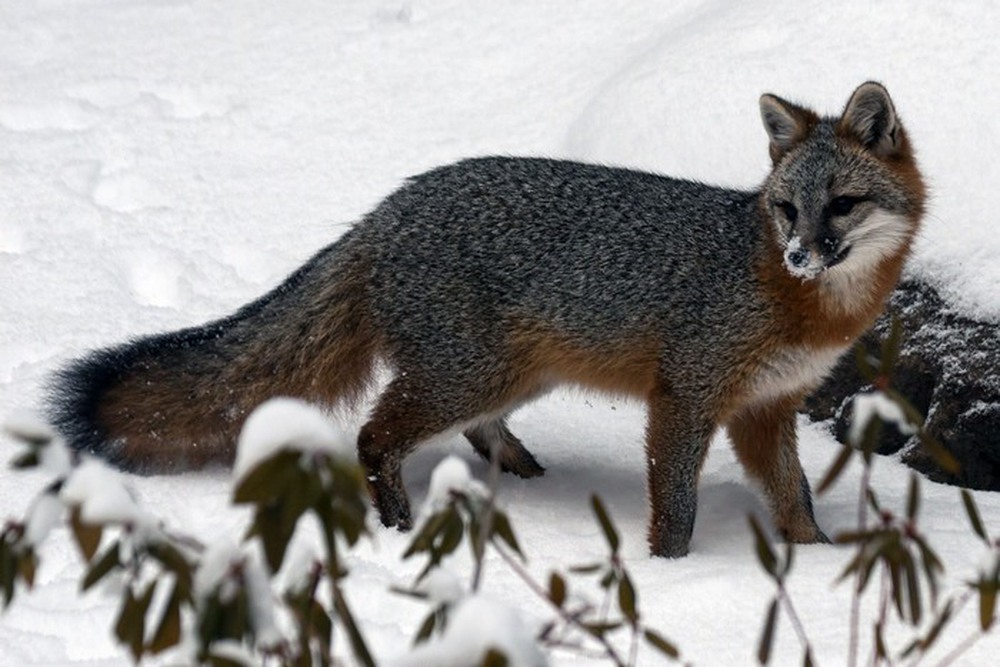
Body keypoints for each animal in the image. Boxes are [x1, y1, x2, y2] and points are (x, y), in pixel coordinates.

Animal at [47, 82, 920, 560]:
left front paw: (817, 563)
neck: (798, 303)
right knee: (374, 434)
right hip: (470, 374)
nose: (803, 255)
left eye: (842, 205)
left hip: (513, 375)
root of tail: (387, 209)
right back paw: (399, 523)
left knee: (466, 430)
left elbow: (795, 498)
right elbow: (676, 509)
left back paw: (521, 471)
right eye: (786, 210)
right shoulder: (687, 397)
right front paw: (673, 571)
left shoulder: (765, 409)